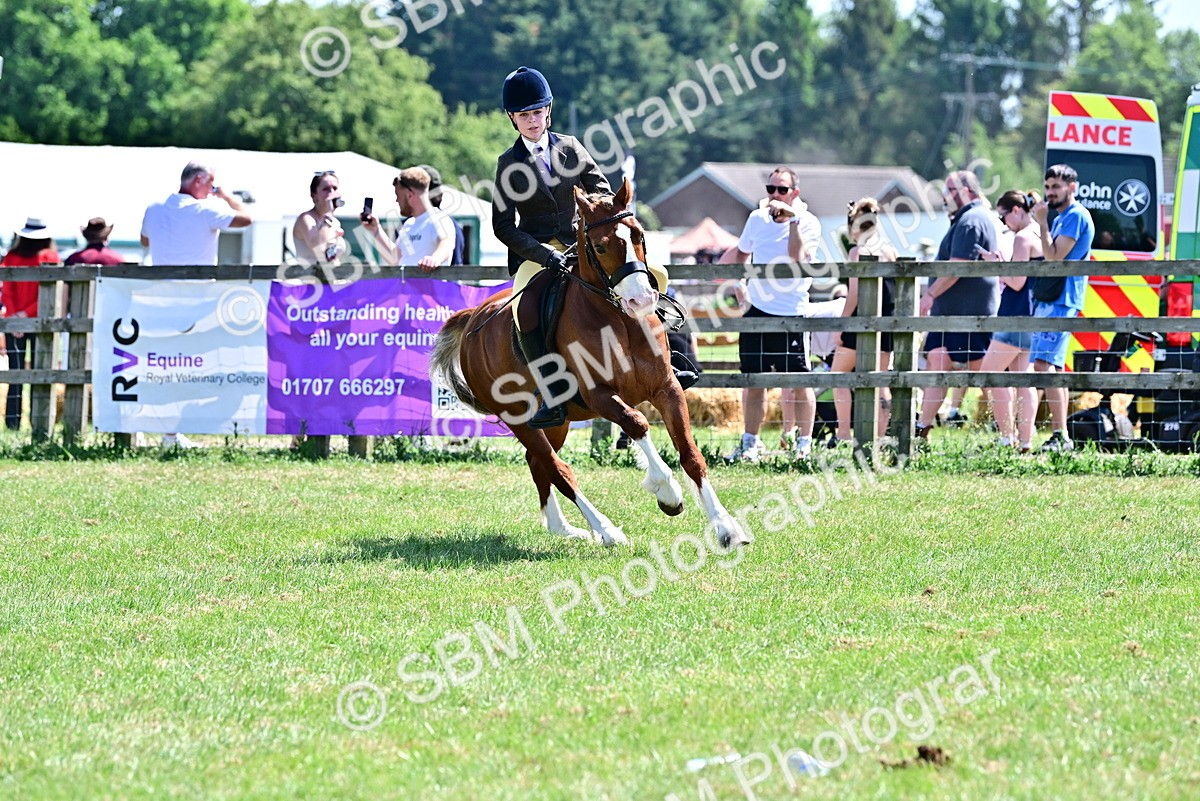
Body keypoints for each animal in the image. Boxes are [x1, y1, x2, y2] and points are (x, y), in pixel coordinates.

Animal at [430, 177, 749, 549]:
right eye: (599, 246)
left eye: (639, 236)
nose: (642, 300)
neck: (621, 320)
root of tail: (472, 319)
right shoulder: (599, 395)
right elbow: (637, 423)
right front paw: (667, 492)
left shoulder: (667, 387)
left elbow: (690, 454)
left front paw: (726, 528)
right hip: (519, 418)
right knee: (558, 469)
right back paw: (607, 531)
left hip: (558, 422)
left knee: (538, 462)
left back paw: (565, 528)